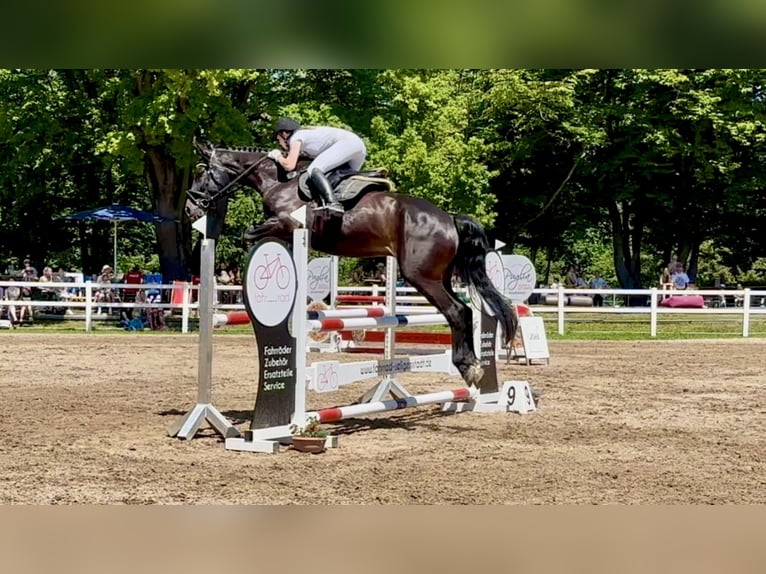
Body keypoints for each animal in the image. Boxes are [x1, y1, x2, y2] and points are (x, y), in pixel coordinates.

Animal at [186, 142, 517, 387]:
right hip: (440, 276)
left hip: (421, 276)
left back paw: (467, 366)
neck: (277, 181)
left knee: (457, 311)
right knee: (466, 310)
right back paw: (473, 365)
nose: (190, 208)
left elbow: (250, 234)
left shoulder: (286, 223)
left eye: (202, 173)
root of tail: (449, 218)